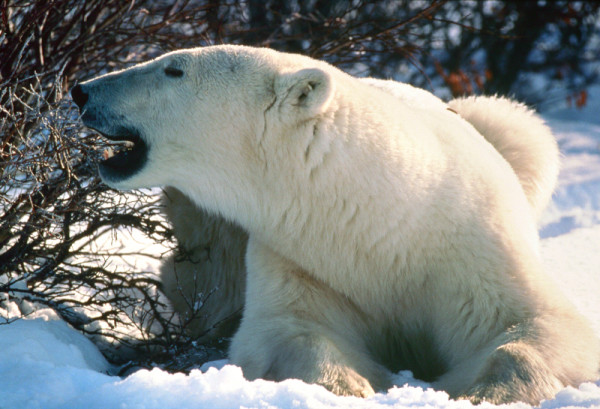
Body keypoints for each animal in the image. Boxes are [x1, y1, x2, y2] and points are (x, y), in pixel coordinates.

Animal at [71, 45, 600, 404]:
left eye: (173, 68)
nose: (82, 90)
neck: (388, 215)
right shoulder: (307, 256)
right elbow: (293, 328)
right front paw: (349, 385)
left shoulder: (475, 248)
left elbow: (537, 326)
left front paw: (483, 392)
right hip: (205, 227)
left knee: (515, 124)